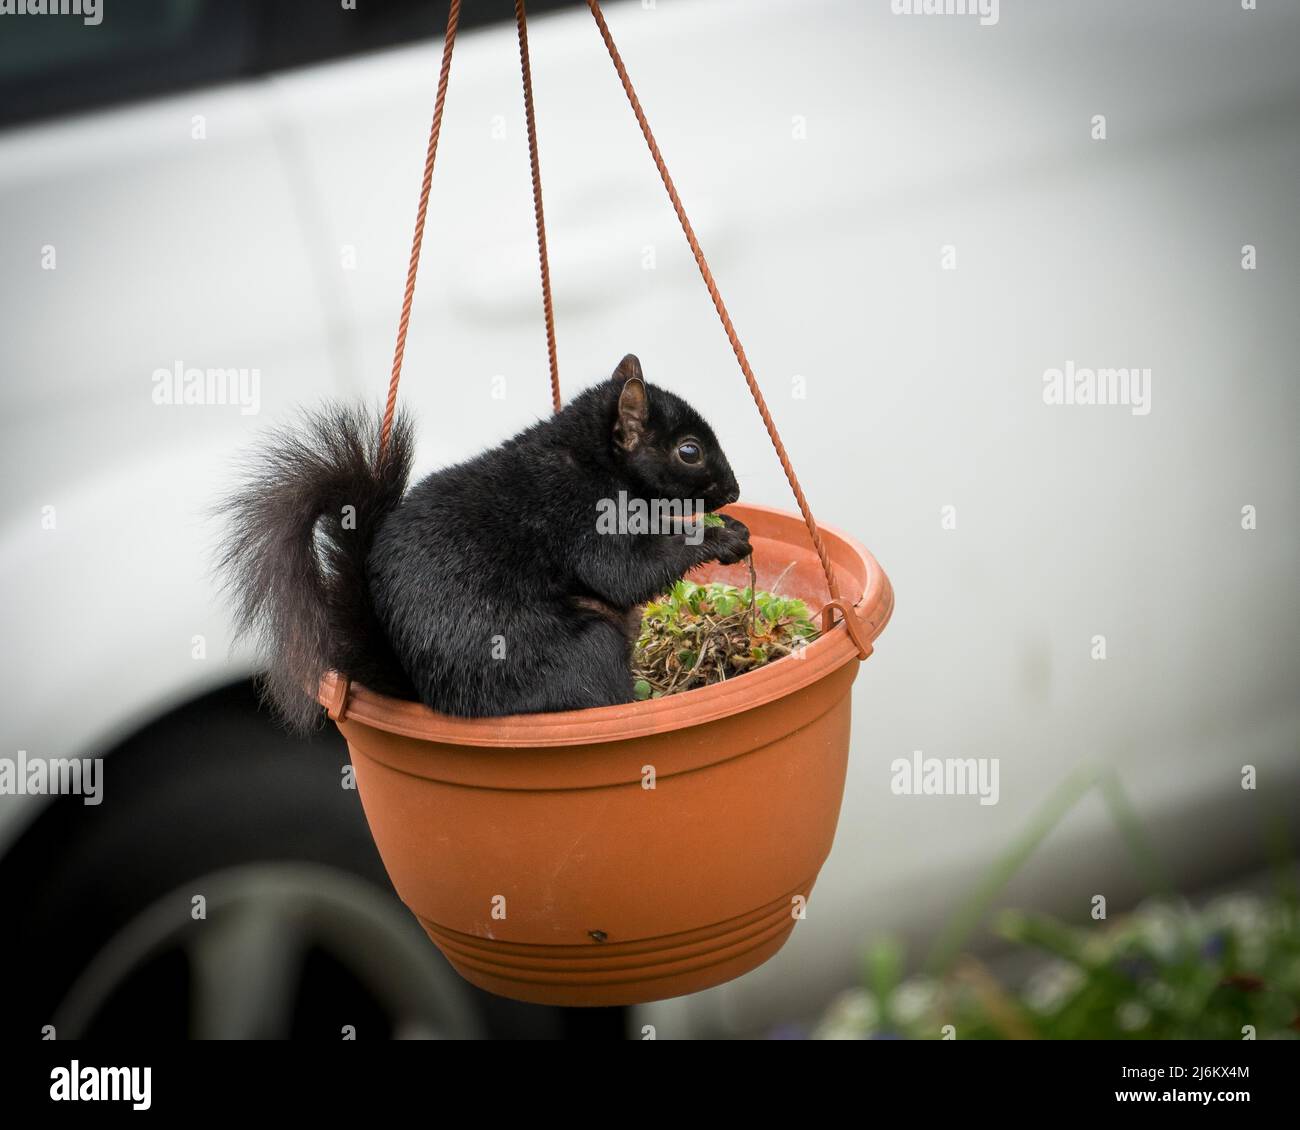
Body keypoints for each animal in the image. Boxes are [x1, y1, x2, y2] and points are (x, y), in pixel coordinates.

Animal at [217, 351, 748, 733]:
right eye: (689, 451)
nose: (735, 491)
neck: (590, 458)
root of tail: (433, 696)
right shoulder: (579, 516)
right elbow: (625, 574)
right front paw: (719, 535)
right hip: (576, 651)